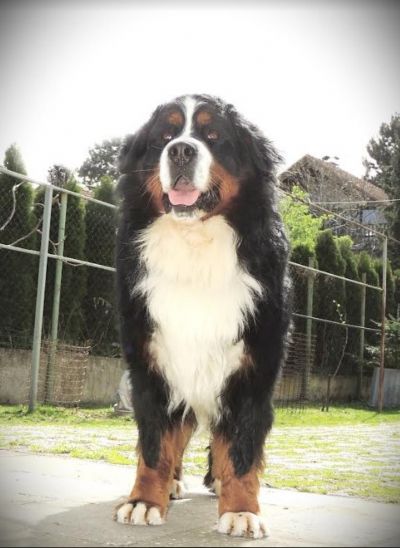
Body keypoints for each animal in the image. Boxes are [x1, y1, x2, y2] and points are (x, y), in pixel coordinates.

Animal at [113, 94, 290, 540]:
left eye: (213, 135)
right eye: (164, 136)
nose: (180, 150)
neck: (195, 244)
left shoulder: (252, 370)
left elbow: (242, 449)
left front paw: (242, 508)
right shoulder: (150, 365)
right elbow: (155, 443)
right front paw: (145, 500)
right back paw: (174, 483)